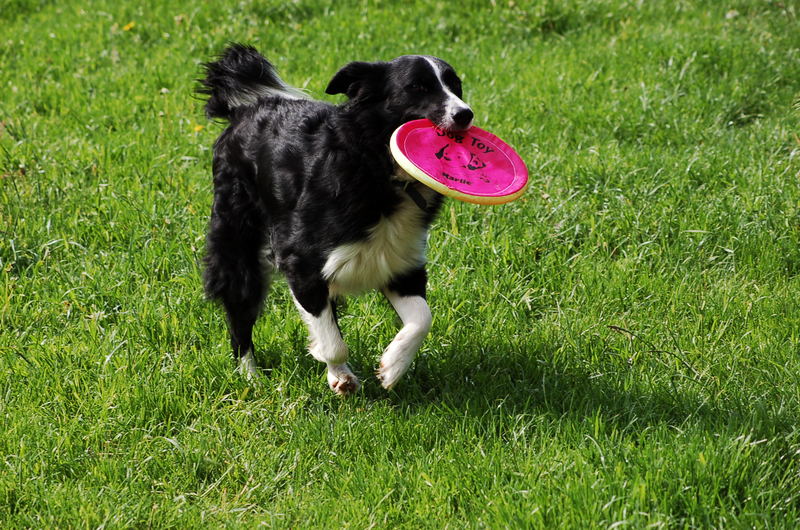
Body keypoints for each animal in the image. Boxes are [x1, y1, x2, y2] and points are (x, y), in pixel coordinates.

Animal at [199, 44, 472, 392]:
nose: (465, 114)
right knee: (240, 309)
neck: (377, 166)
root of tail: (247, 108)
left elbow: (422, 318)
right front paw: (341, 374)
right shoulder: (301, 260)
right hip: (237, 236)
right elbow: (333, 340)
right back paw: (251, 376)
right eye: (417, 87)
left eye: (456, 86)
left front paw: (392, 367)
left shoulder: (400, 261)